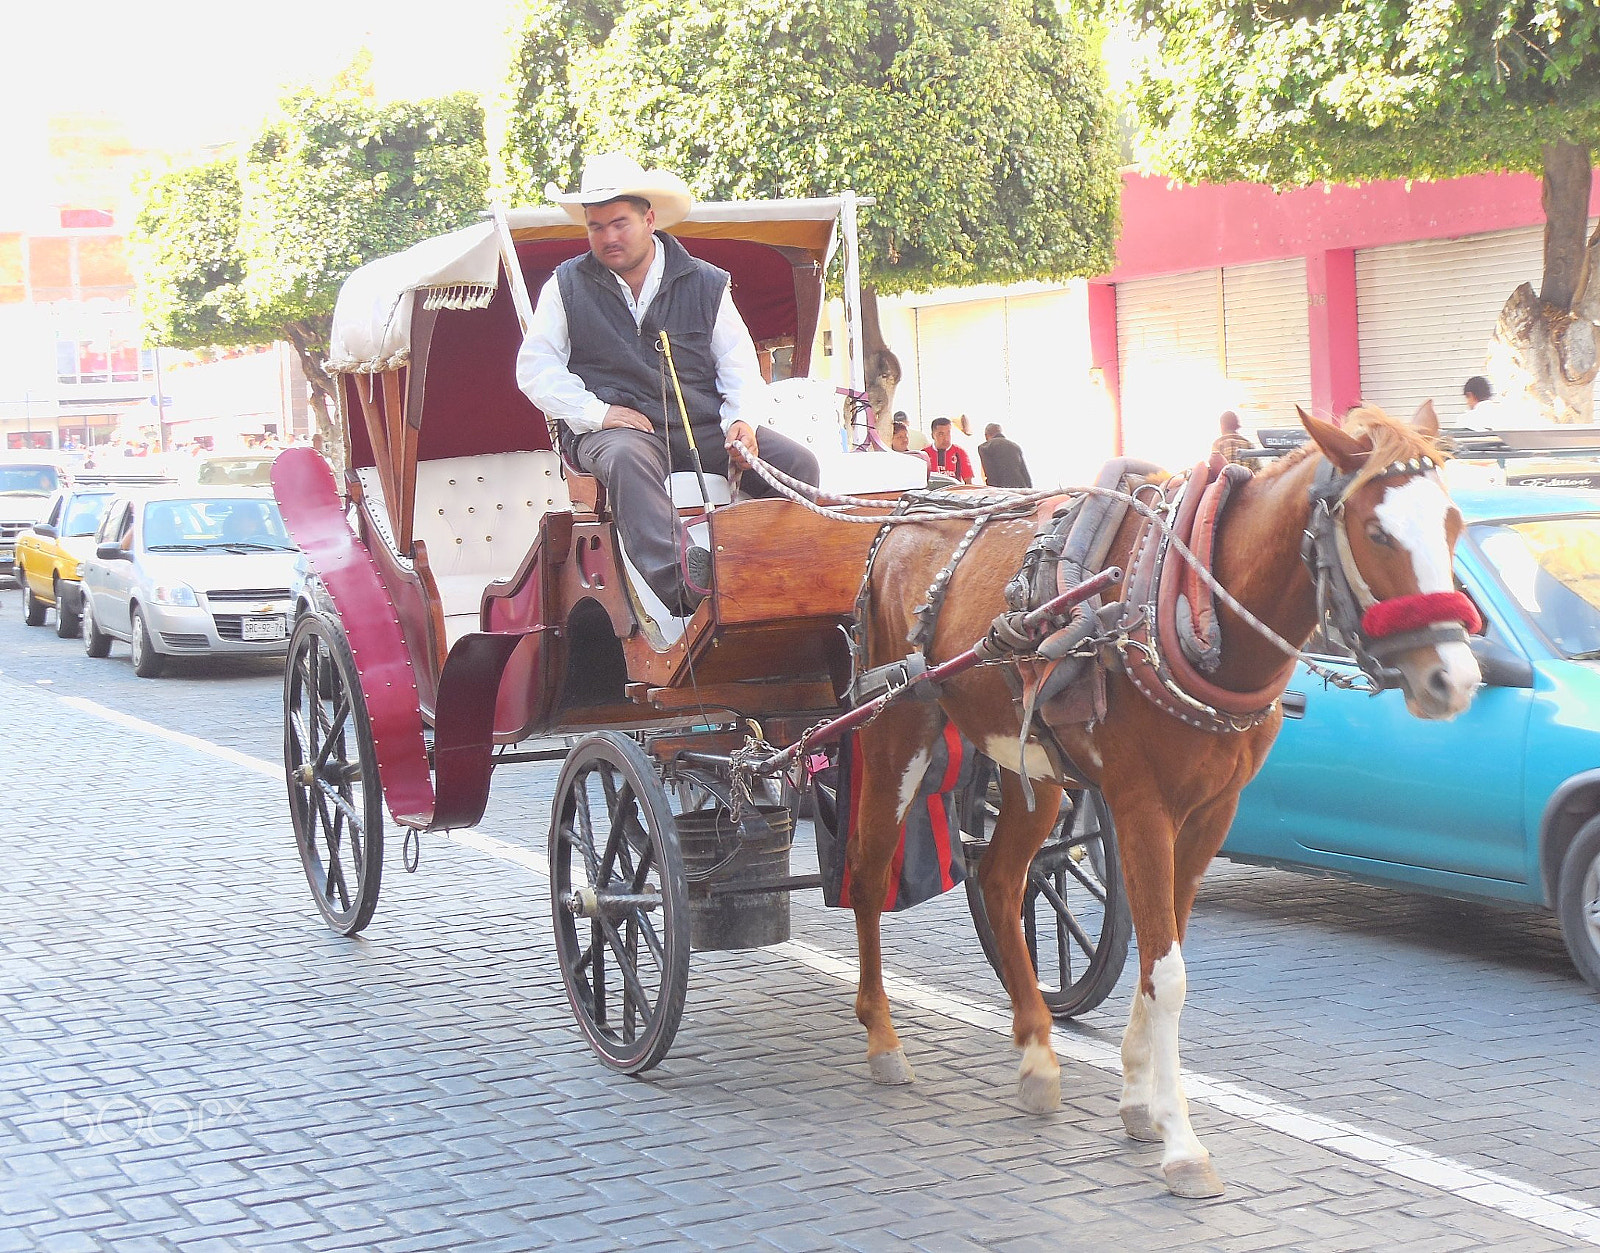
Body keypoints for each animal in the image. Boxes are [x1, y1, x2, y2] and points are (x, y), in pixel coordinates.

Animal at [844, 406, 1478, 1203]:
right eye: (1378, 532)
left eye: (1454, 523)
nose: (1454, 679)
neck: (1193, 604)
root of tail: (903, 514)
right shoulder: (1141, 805)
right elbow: (1167, 972)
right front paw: (1181, 1142)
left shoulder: (1211, 812)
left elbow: (1161, 951)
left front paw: (1139, 1101)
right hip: (896, 731)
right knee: (870, 874)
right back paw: (882, 1038)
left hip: (1035, 768)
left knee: (1000, 878)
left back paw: (1037, 1051)